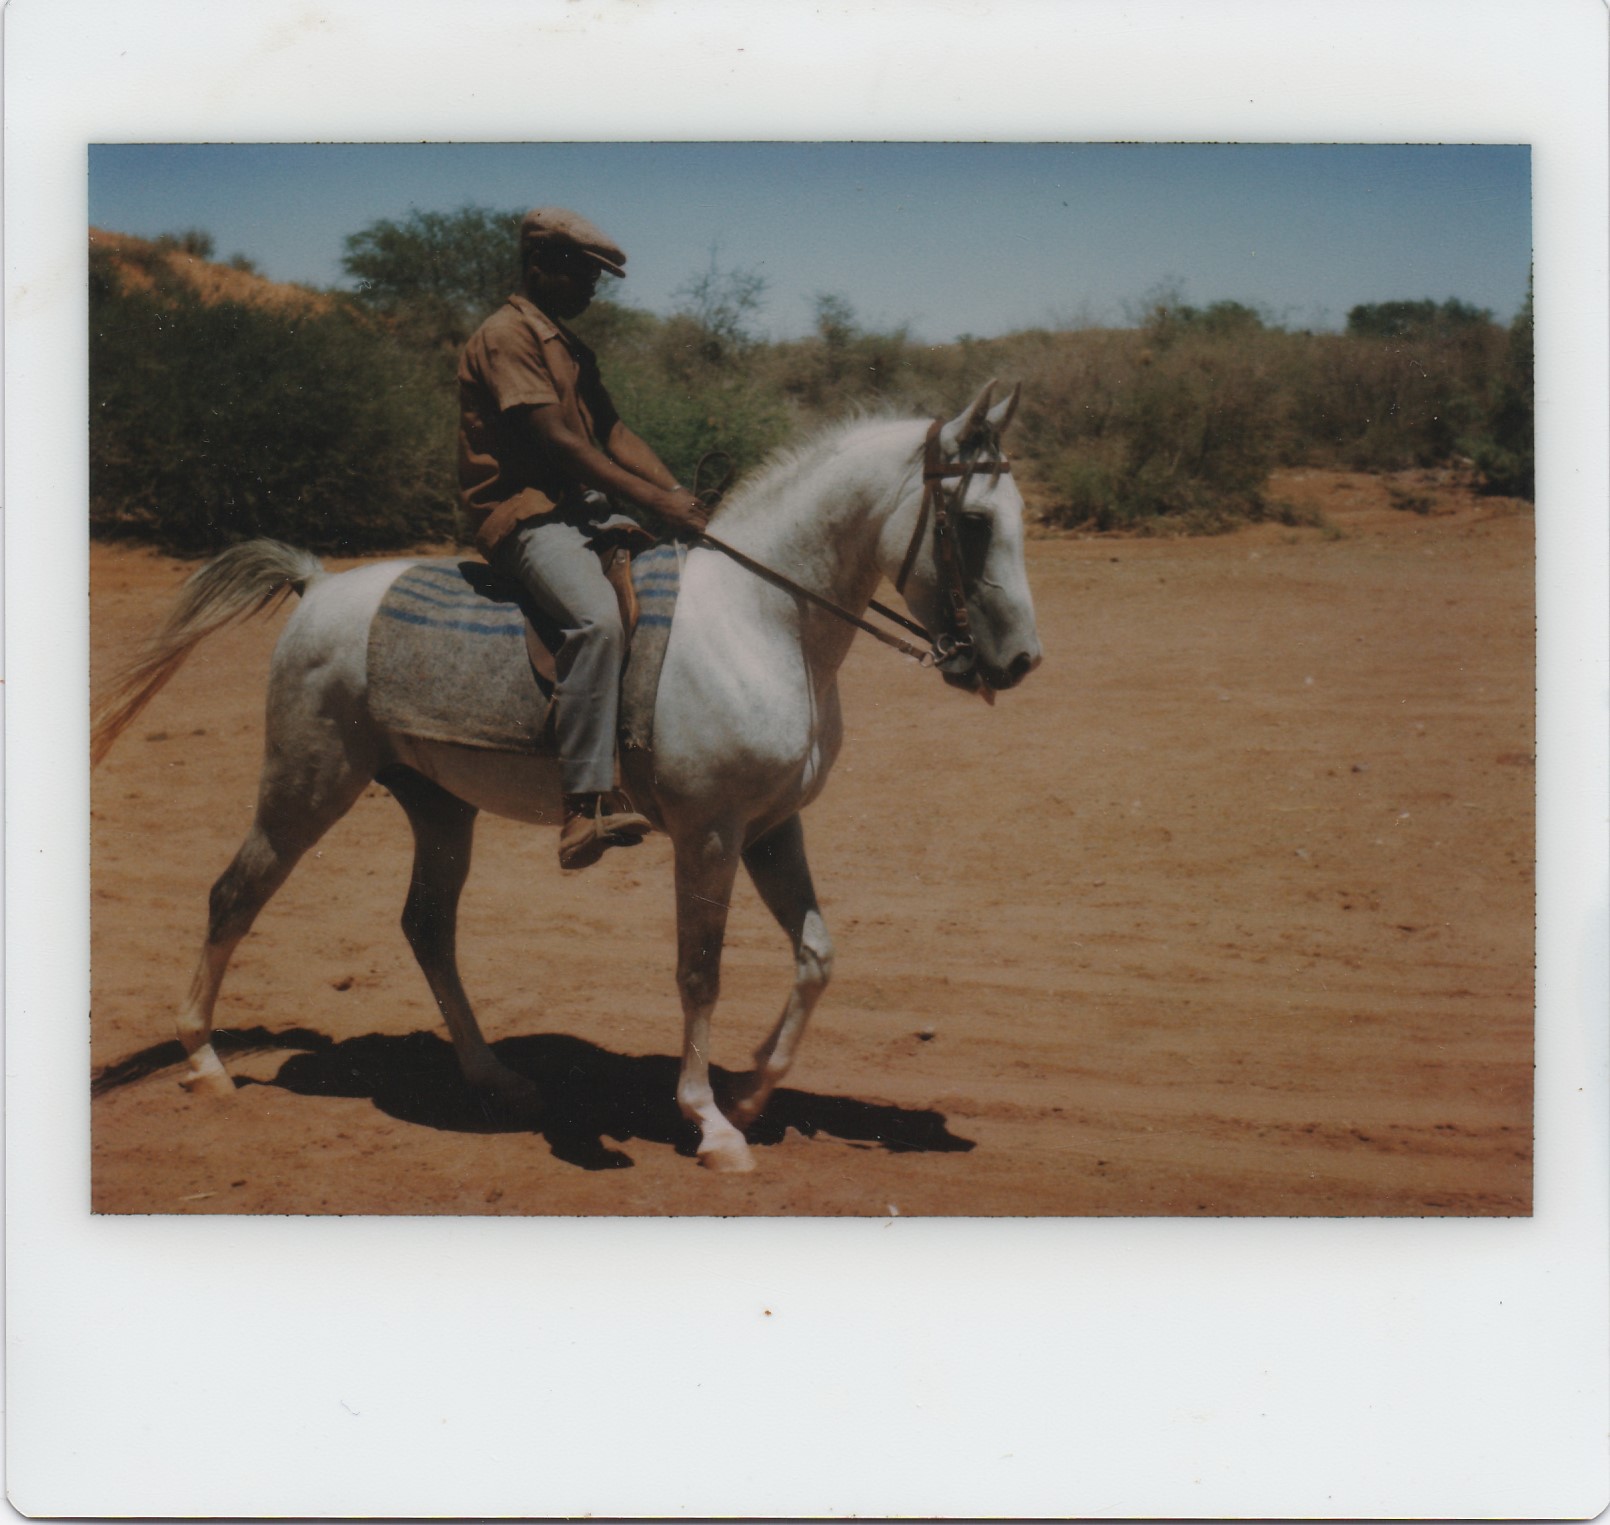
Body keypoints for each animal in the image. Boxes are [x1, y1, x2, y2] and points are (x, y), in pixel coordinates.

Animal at [91, 380, 1042, 1172]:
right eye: (971, 522)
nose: (1021, 662)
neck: (761, 619)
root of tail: (318, 586)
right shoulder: (709, 831)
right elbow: (700, 970)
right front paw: (711, 1123)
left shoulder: (772, 826)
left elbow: (816, 955)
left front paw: (750, 1089)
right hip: (306, 783)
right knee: (234, 895)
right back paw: (205, 1060)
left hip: (439, 807)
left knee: (427, 927)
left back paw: (495, 1079)